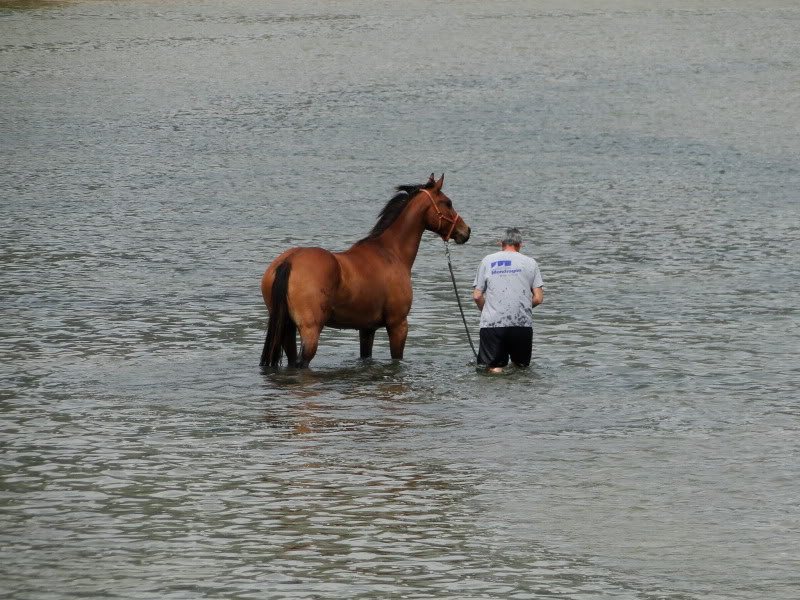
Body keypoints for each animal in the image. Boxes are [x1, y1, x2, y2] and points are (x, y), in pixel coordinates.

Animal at [260, 173, 468, 368]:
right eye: (447, 203)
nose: (466, 231)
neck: (390, 252)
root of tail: (290, 260)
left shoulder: (367, 328)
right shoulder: (398, 325)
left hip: (286, 328)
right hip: (310, 331)